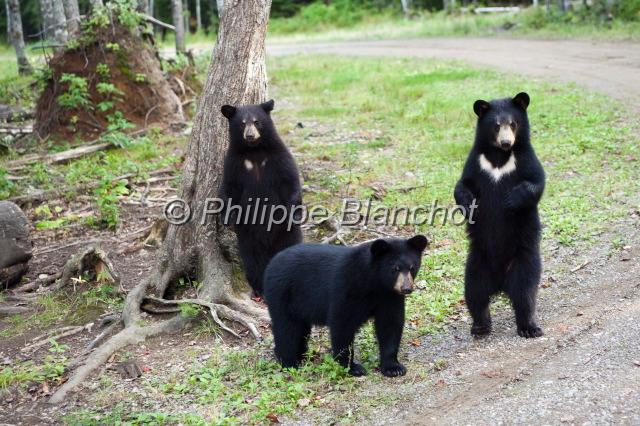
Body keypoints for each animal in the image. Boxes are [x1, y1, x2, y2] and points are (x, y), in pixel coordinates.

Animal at [219, 99, 303, 297]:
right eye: (242, 123)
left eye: (257, 121)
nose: (250, 135)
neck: (254, 151)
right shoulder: (234, 163)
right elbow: (229, 188)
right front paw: (227, 217)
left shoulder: (278, 157)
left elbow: (290, 180)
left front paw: (295, 213)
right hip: (247, 236)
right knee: (253, 260)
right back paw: (259, 289)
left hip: (286, 233)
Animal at [263, 235, 429, 377]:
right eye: (395, 268)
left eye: (412, 267)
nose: (406, 288)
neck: (375, 282)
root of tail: (272, 262)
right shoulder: (347, 287)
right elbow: (342, 323)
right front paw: (351, 367)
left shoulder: (389, 297)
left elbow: (390, 325)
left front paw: (393, 368)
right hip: (282, 293)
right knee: (286, 328)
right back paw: (290, 362)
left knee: (300, 329)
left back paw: (302, 355)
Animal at [454, 92, 545, 338]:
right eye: (496, 126)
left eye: (513, 124)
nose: (507, 142)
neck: (498, 157)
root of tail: (500, 283)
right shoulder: (476, 162)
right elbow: (462, 185)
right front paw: (470, 205)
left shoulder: (525, 158)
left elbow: (536, 182)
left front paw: (511, 200)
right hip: (476, 264)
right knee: (475, 294)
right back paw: (480, 326)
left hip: (523, 261)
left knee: (525, 294)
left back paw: (529, 328)